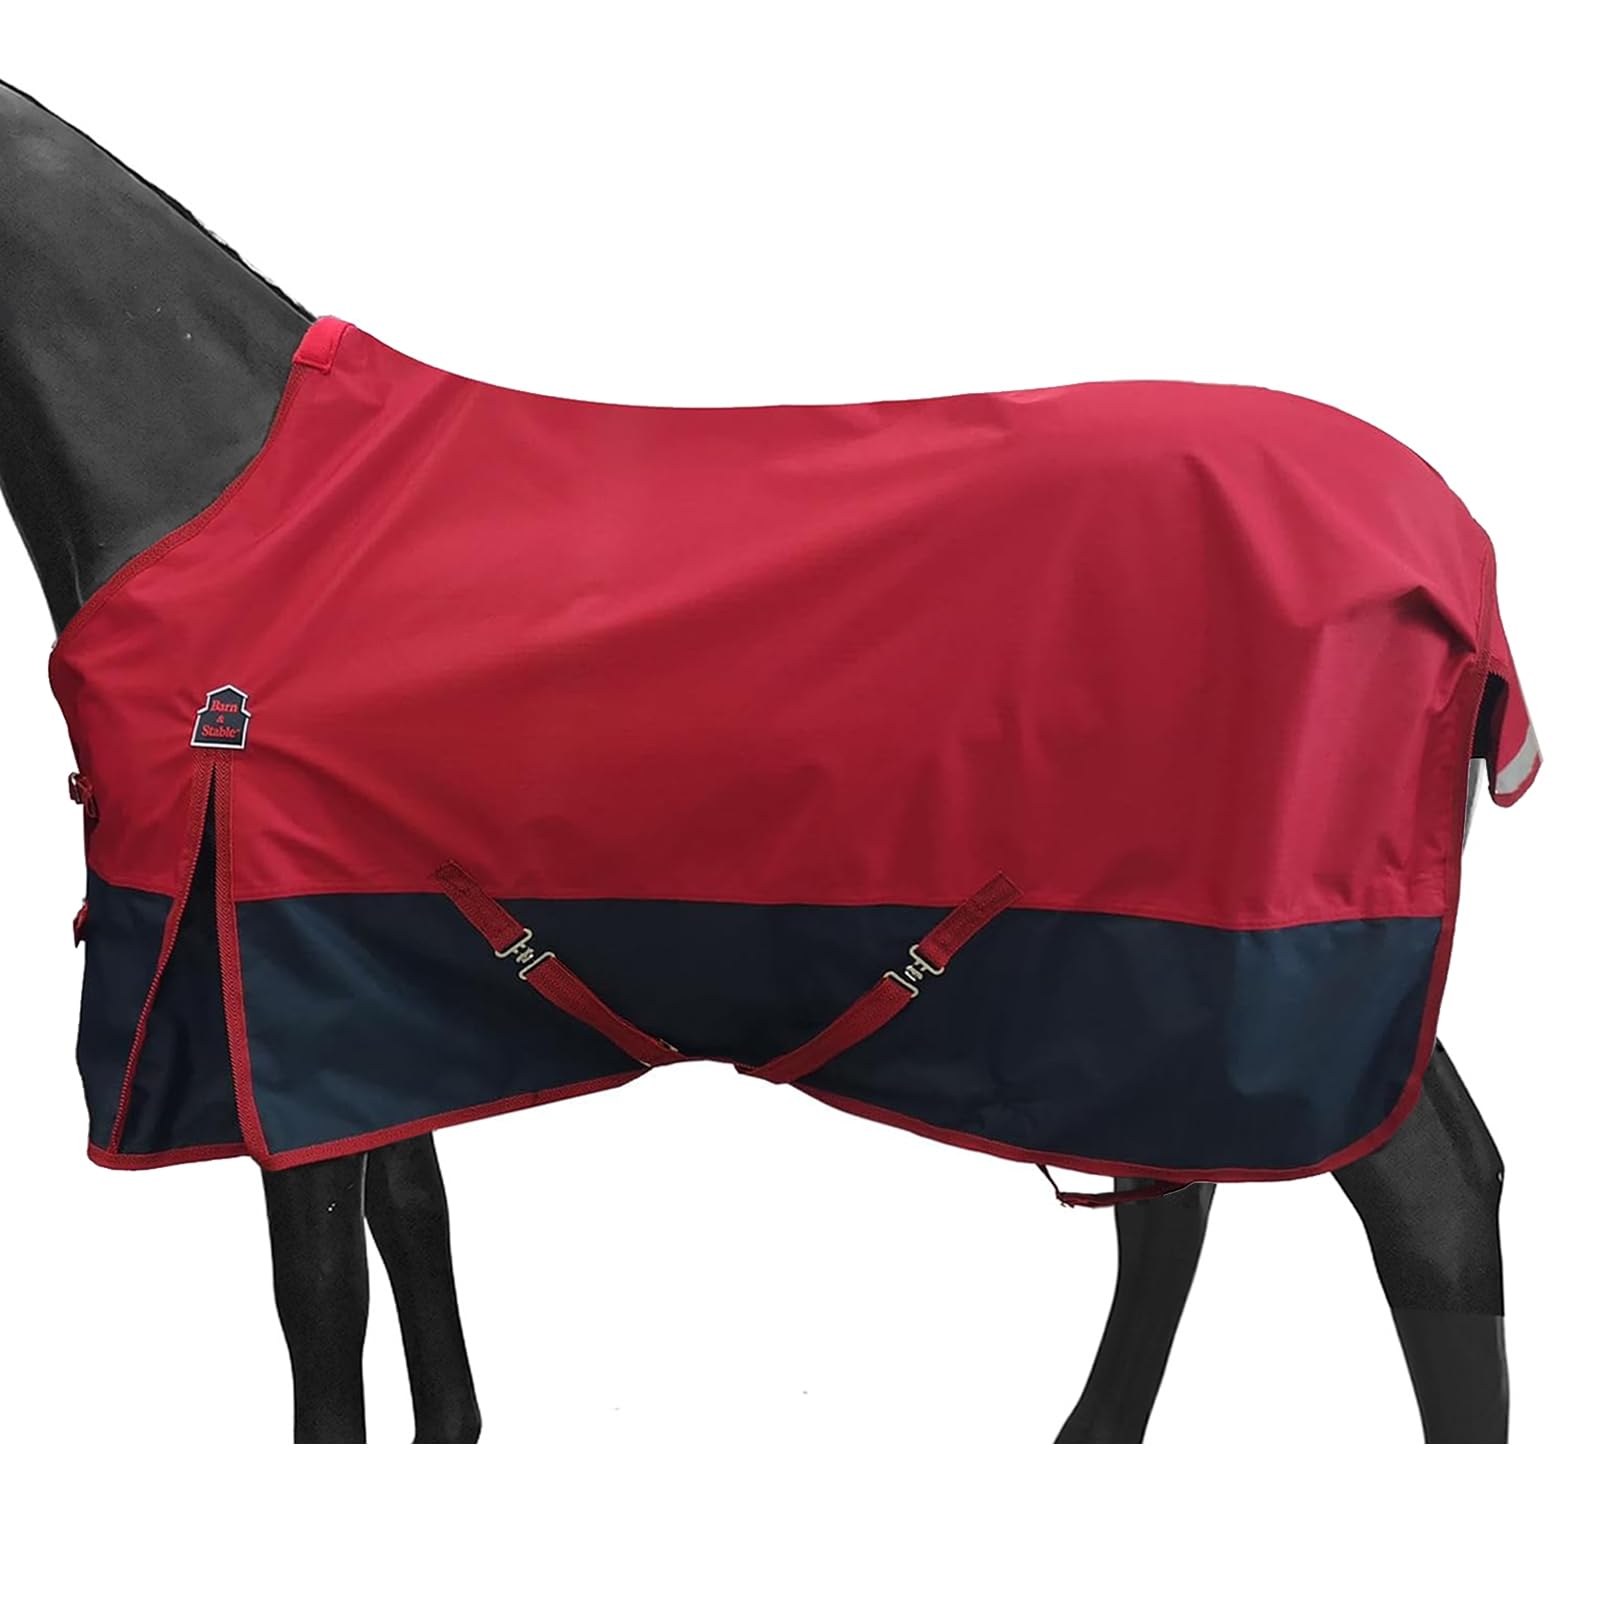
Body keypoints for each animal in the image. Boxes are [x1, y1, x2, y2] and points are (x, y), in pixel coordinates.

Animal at [0, 77, 1516, 1443]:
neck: (223, 481)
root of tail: (1450, 551)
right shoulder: (344, 974)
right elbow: (411, 1227)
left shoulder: (252, 960)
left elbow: (317, 1296)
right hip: (1160, 982)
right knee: (1186, 1199)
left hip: (1276, 957)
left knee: (1426, 1195)